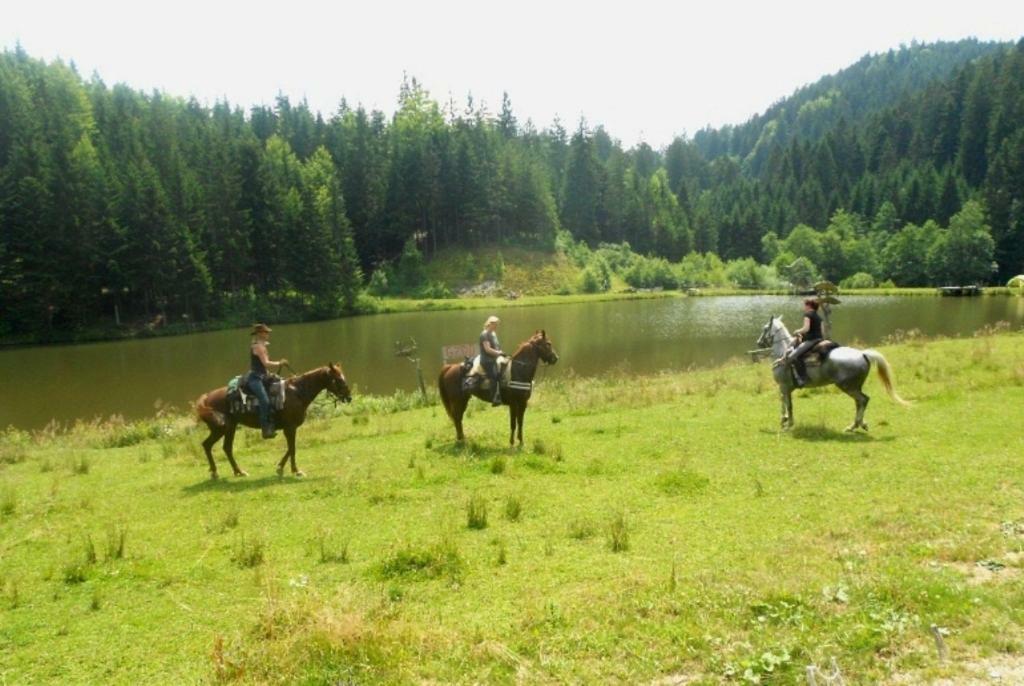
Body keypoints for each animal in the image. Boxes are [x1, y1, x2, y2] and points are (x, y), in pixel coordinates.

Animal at [194, 362, 352, 481]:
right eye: (338, 379)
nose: (349, 397)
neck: (297, 392)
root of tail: (206, 398)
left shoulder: (290, 428)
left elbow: (290, 448)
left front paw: (280, 468)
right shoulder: (290, 427)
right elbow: (292, 448)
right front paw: (295, 470)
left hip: (230, 428)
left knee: (226, 448)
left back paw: (238, 471)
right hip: (220, 428)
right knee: (207, 445)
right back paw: (215, 472)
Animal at [753, 315, 913, 432]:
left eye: (765, 328)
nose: (759, 342)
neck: (783, 354)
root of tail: (863, 354)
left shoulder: (784, 386)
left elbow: (787, 404)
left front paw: (787, 422)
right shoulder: (786, 388)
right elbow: (786, 403)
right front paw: (785, 420)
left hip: (848, 387)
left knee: (863, 400)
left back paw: (855, 425)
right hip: (854, 387)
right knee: (860, 402)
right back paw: (858, 425)